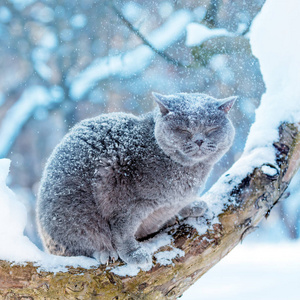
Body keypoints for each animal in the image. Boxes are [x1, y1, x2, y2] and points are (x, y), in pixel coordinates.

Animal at [36, 92, 236, 264]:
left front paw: (191, 206)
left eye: (212, 129)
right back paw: (105, 251)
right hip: (75, 214)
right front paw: (134, 253)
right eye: (183, 130)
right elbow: (122, 232)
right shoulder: (126, 202)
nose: (199, 140)